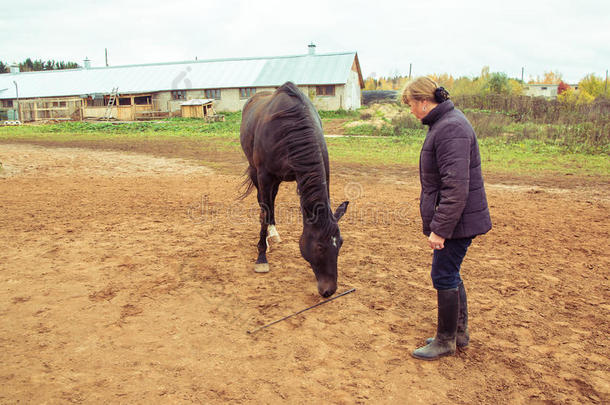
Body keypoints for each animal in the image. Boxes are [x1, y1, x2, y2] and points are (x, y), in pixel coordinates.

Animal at [239, 82, 346, 296]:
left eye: (340, 243)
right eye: (319, 247)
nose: (329, 291)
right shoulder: (264, 175)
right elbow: (263, 212)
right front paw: (261, 258)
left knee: (272, 199)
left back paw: (273, 233)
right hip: (256, 173)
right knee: (264, 202)